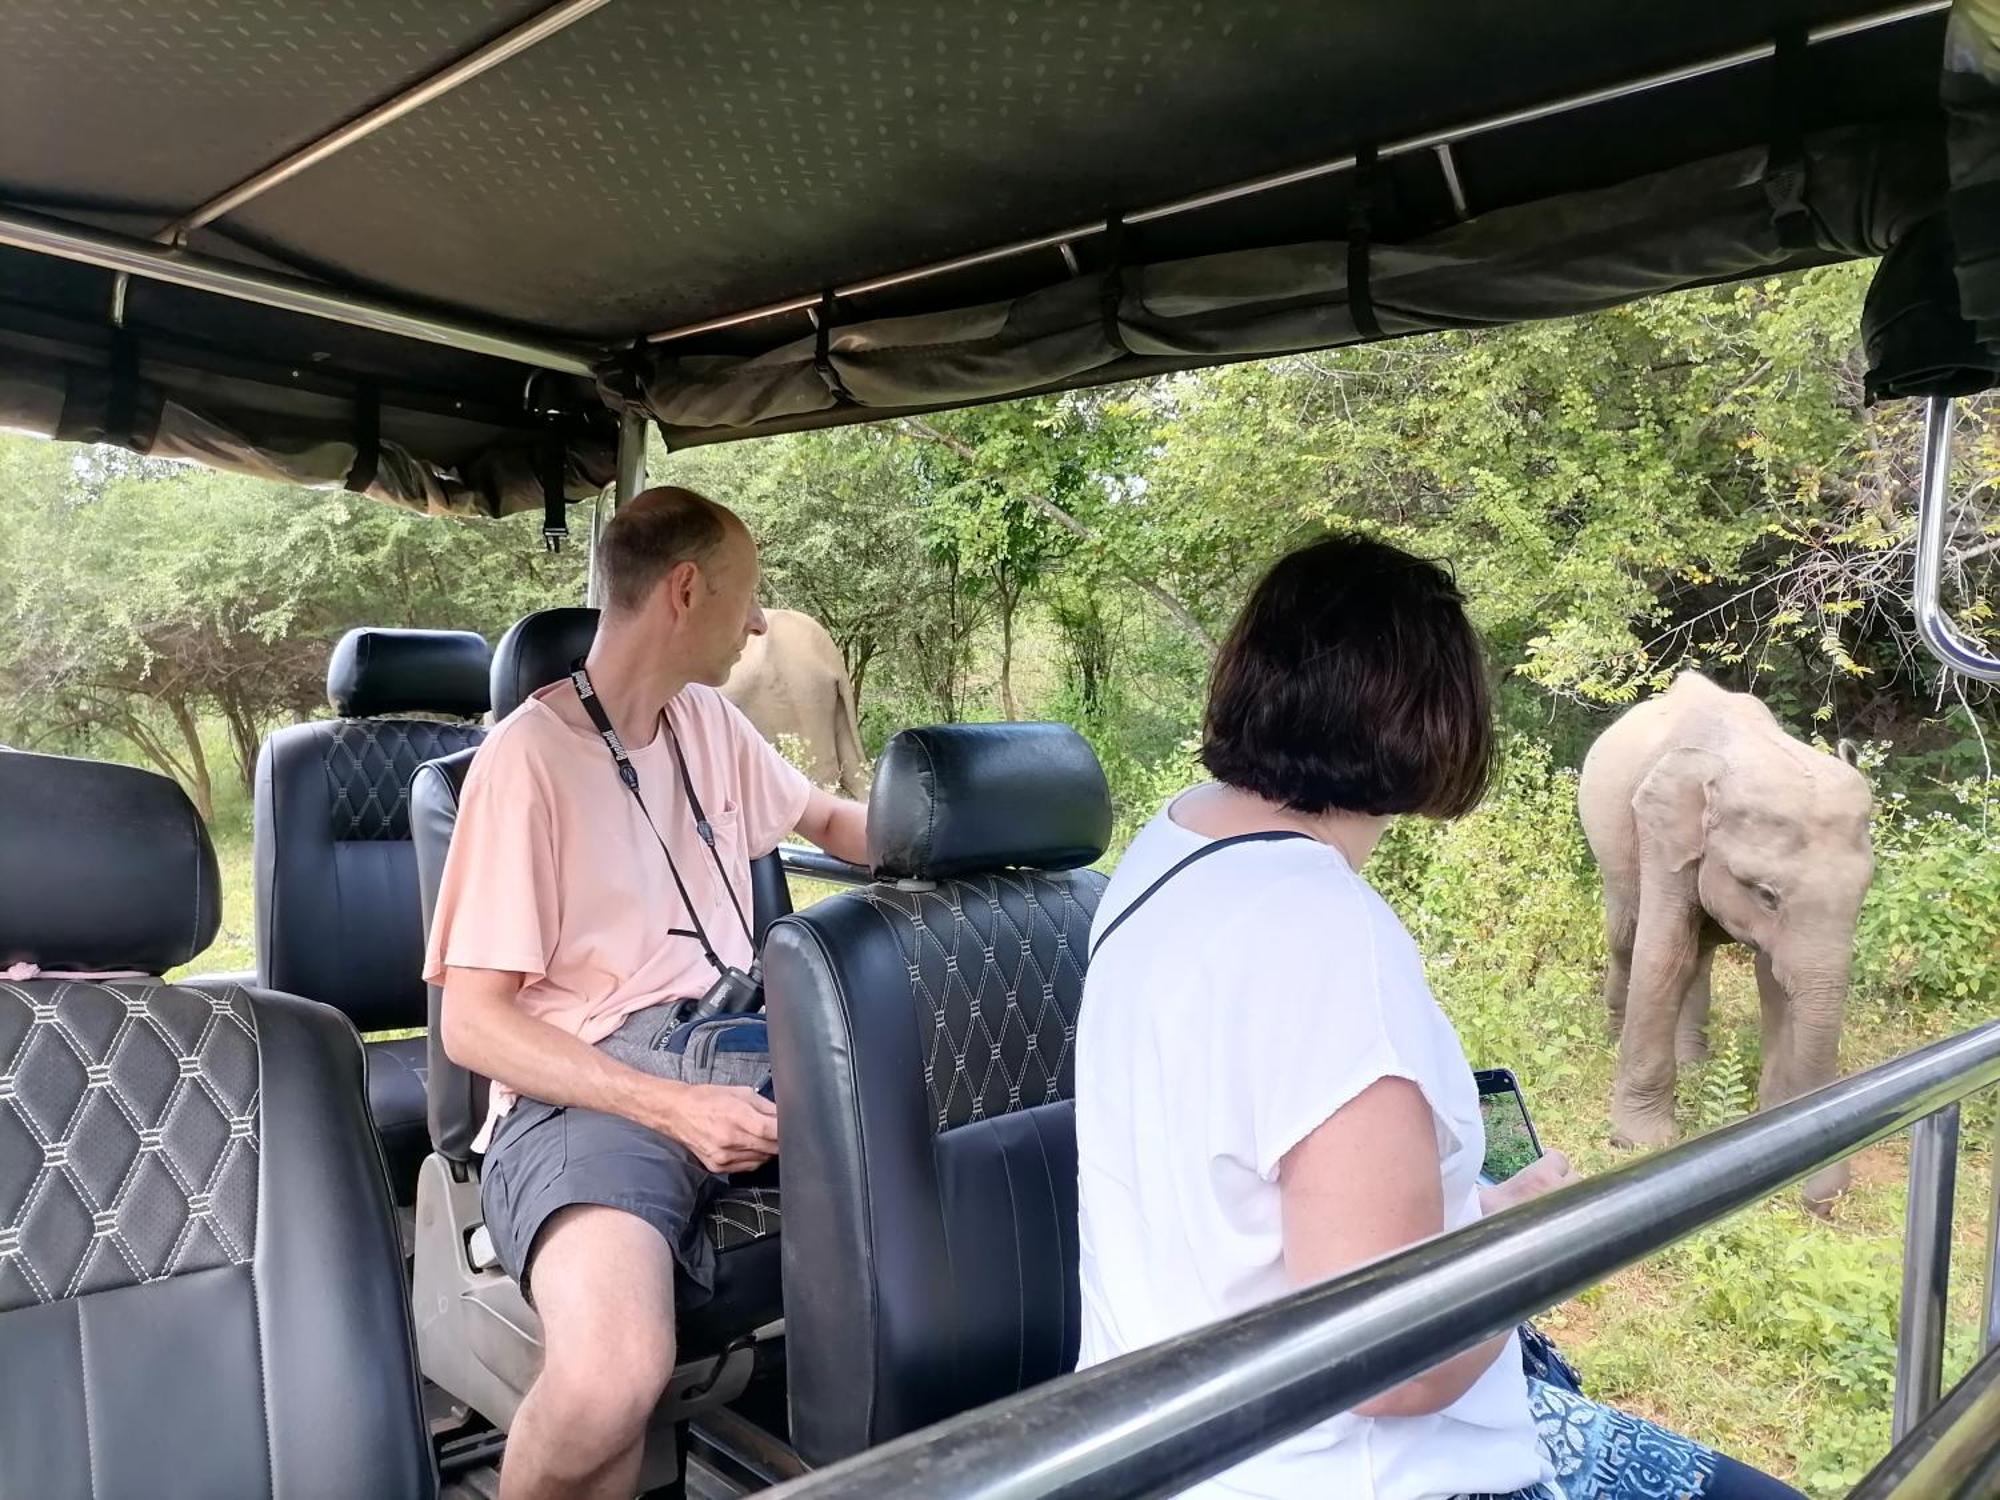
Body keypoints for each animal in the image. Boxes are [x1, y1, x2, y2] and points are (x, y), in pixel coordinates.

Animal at [1576, 676, 1872, 1216]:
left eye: (1864, 893)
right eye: (1767, 895)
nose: (1824, 1204)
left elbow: (1772, 974)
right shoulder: (1659, 832)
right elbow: (1662, 953)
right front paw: (1638, 1143)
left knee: (1701, 952)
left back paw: (1695, 1062)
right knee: (1627, 936)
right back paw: (1615, 1035)